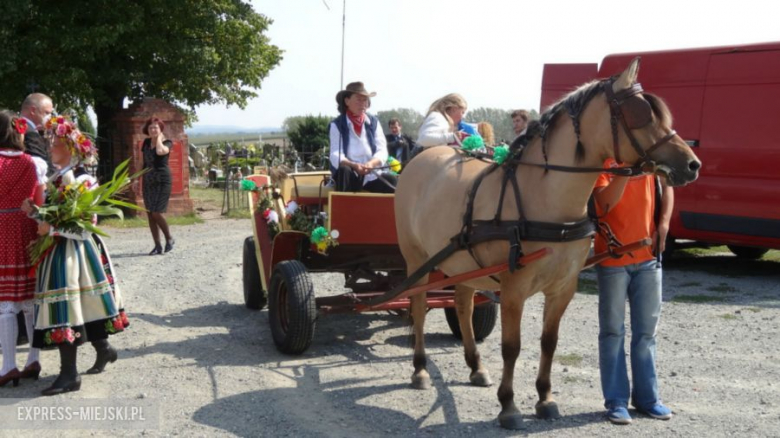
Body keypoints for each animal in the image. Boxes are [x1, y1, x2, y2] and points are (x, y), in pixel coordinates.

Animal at [396, 58, 700, 428]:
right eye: (641, 115)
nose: (692, 164)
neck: (545, 198)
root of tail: (421, 159)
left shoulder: (562, 287)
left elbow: (549, 342)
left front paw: (545, 398)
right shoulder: (513, 288)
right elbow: (512, 346)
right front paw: (509, 405)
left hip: (463, 262)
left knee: (464, 305)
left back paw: (476, 366)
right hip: (417, 260)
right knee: (418, 307)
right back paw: (420, 369)